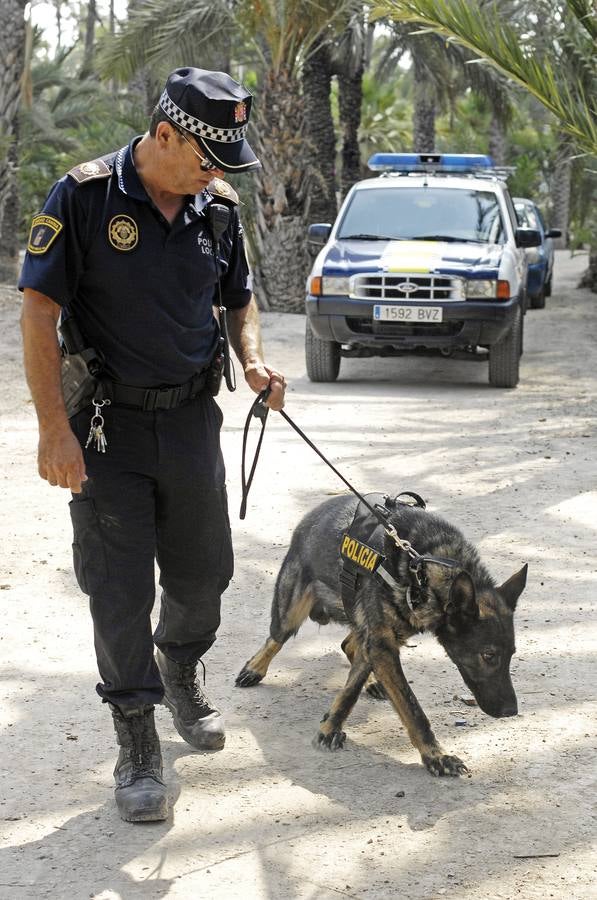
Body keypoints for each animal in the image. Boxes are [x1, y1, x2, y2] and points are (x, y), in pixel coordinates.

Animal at [237, 492, 528, 772]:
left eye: (512, 654)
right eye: (488, 655)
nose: (511, 711)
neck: (419, 566)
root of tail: (312, 515)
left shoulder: (380, 642)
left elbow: (352, 688)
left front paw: (331, 724)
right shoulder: (381, 645)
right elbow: (411, 708)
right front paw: (436, 756)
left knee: (349, 646)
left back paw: (373, 682)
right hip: (291, 612)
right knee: (277, 637)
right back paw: (254, 668)